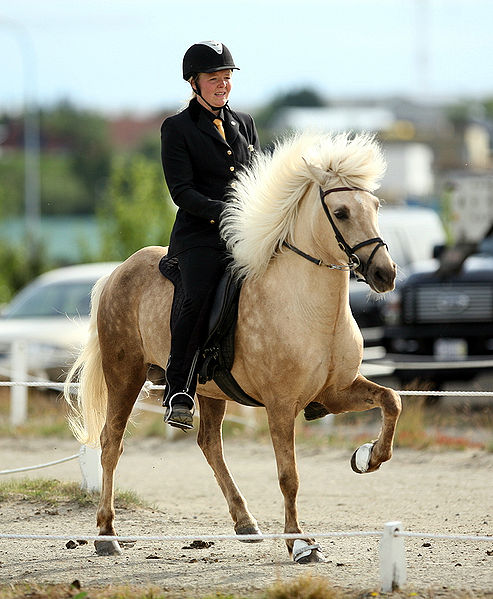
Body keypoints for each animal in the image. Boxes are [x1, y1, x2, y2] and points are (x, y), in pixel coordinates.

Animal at [63, 130, 400, 564]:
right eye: (340, 212)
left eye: (375, 206)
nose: (385, 274)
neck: (310, 307)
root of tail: (118, 271)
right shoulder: (280, 404)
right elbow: (288, 476)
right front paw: (300, 544)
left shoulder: (335, 391)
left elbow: (392, 400)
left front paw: (367, 456)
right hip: (125, 375)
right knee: (111, 444)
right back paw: (106, 535)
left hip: (207, 389)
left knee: (209, 444)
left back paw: (245, 523)